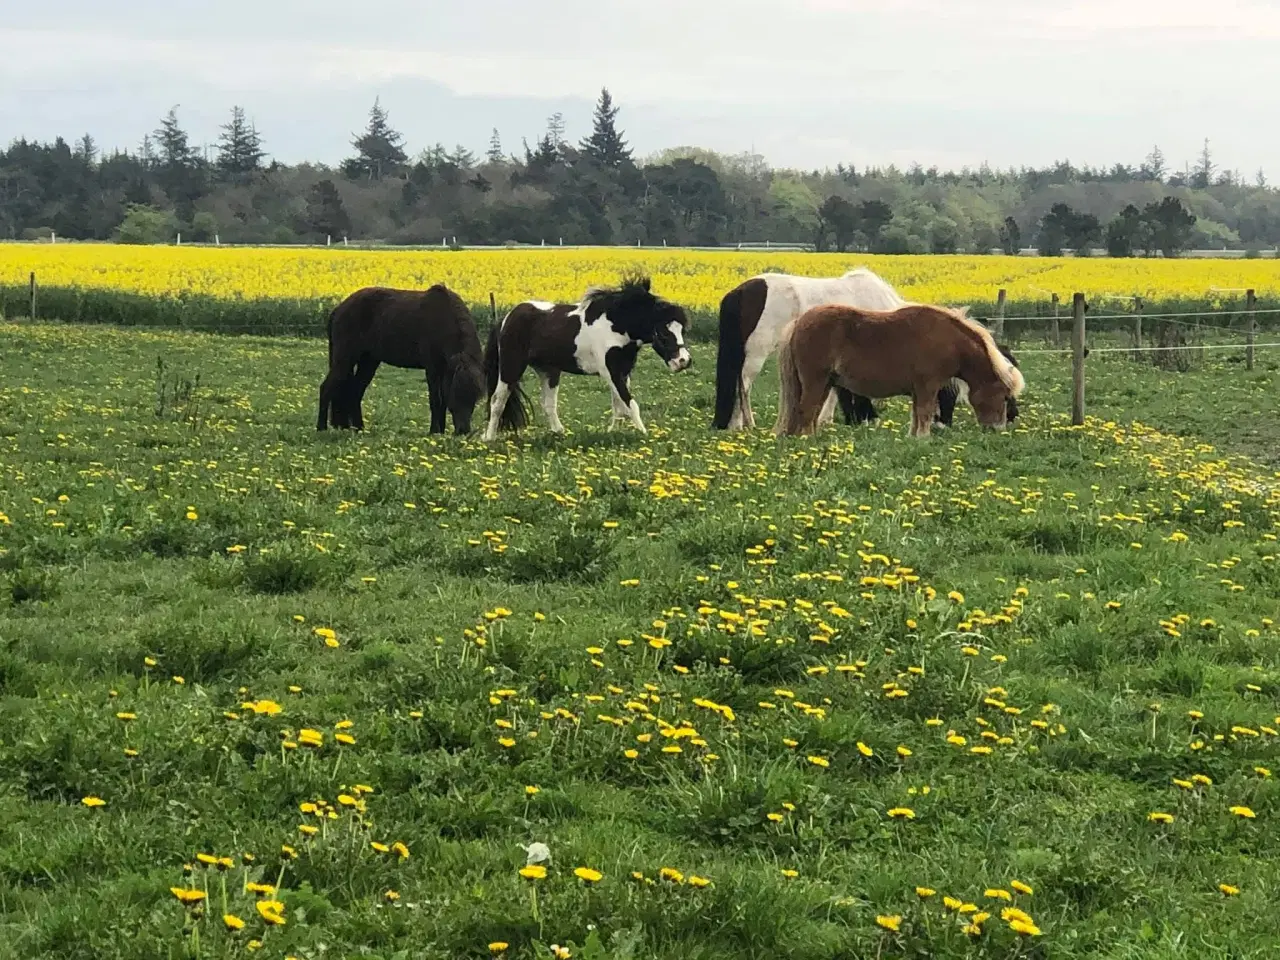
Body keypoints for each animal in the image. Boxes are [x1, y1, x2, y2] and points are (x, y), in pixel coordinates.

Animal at [314, 285, 483, 435]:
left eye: (475, 398)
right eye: (455, 395)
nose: (463, 431)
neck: (444, 320)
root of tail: (339, 309)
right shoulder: (433, 369)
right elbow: (436, 400)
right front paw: (435, 431)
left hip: (369, 361)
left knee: (355, 391)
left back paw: (359, 428)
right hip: (345, 359)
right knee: (326, 388)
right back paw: (321, 428)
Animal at [483, 276, 696, 442]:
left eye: (682, 330)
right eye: (663, 333)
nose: (683, 361)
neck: (616, 325)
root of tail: (505, 319)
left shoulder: (623, 371)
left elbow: (619, 406)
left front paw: (613, 432)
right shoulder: (611, 372)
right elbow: (630, 404)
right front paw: (644, 434)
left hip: (549, 371)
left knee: (548, 404)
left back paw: (560, 433)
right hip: (511, 367)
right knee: (497, 400)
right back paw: (489, 438)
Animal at [768, 304, 1029, 440]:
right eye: (1005, 397)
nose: (999, 429)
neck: (948, 341)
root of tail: (799, 322)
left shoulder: (919, 389)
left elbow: (917, 415)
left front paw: (914, 437)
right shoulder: (927, 387)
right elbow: (925, 413)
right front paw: (923, 438)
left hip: (825, 383)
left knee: (810, 412)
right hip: (815, 381)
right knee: (806, 410)